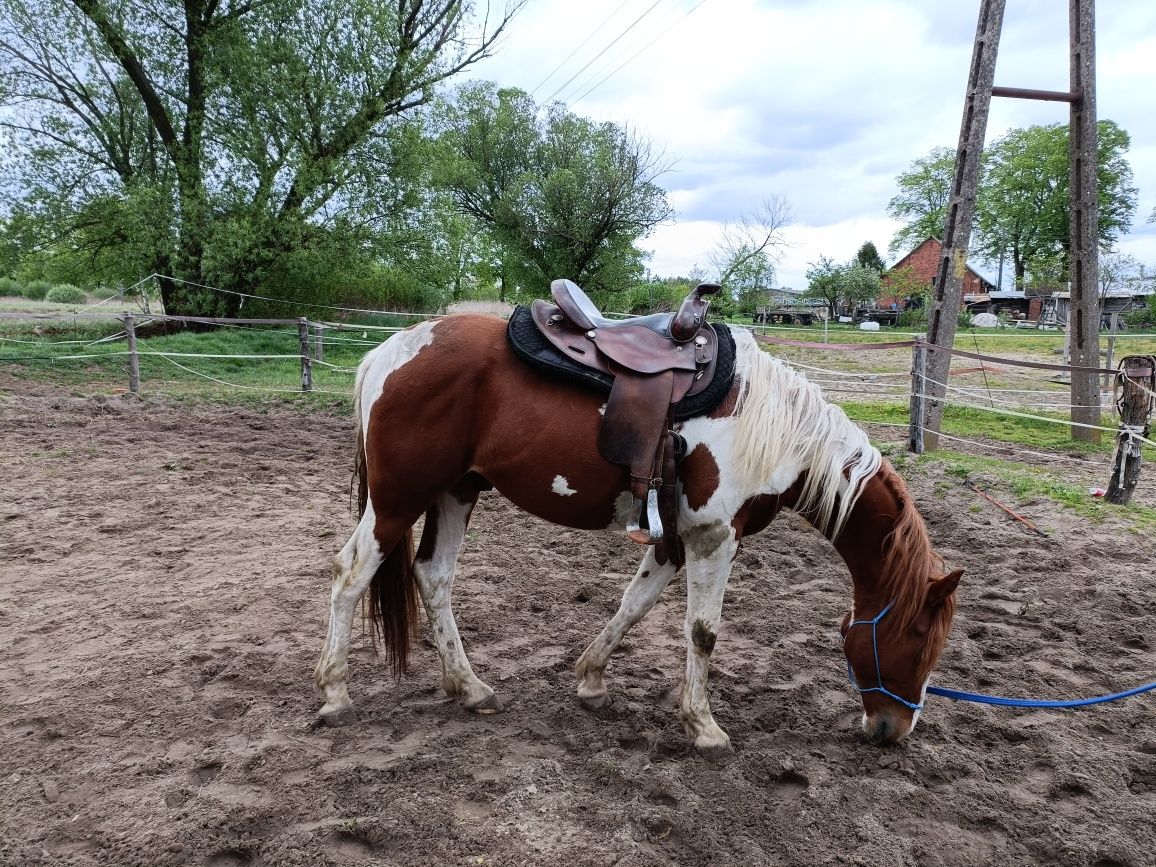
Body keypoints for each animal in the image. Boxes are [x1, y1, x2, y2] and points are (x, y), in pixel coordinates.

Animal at [312, 316, 961, 758]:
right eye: (919, 641)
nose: (894, 731)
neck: (775, 428)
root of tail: (390, 352)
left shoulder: (675, 537)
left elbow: (634, 603)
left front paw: (591, 678)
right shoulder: (715, 538)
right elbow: (703, 633)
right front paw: (704, 727)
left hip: (456, 492)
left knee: (434, 576)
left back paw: (469, 687)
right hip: (399, 500)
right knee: (350, 573)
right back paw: (336, 694)